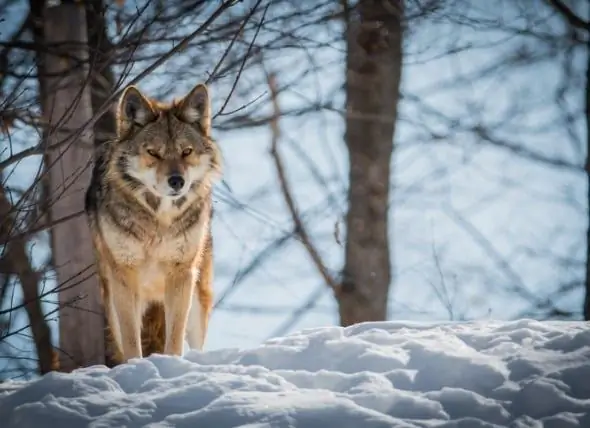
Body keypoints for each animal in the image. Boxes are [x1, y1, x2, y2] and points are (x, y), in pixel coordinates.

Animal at [84, 82, 222, 362]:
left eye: (186, 152)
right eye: (153, 153)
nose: (177, 181)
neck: (159, 220)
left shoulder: (181, 272)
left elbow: (175, 336)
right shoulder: (124, 274)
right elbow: (130, 339)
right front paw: (136, 367)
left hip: (198, 298)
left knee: (195, 341)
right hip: (112, 299)